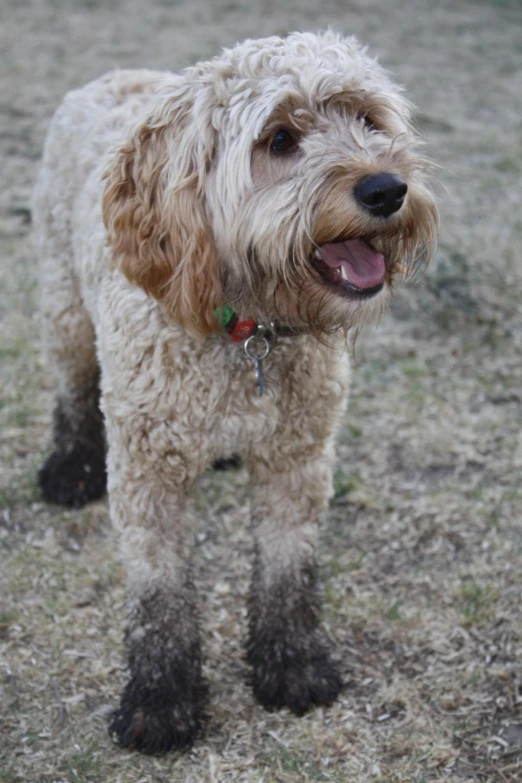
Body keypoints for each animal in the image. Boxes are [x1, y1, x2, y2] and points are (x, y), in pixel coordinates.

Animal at [33, 30, 434, 752]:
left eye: (369, 120)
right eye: (278, 139)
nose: (388, 188)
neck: (247, 330)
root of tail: (114, 75)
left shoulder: (297, 458)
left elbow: (287, 568)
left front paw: (293, 663)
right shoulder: (147, 473)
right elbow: (158, 589)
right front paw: (160, 698)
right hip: (62, 304)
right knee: (73, 386)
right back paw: (69, 465)